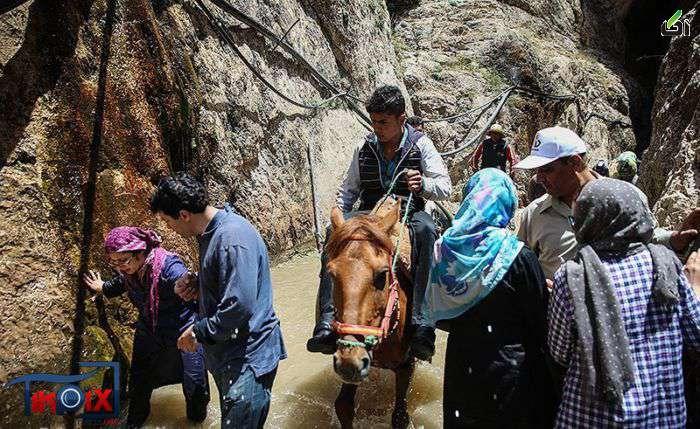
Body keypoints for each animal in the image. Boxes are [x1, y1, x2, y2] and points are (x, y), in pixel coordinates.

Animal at [324, 201, 412, 428]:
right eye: (331, 274)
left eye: (382, 274)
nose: (349, 362)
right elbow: (343, 407)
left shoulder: (406, 365)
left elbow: (400, 417)